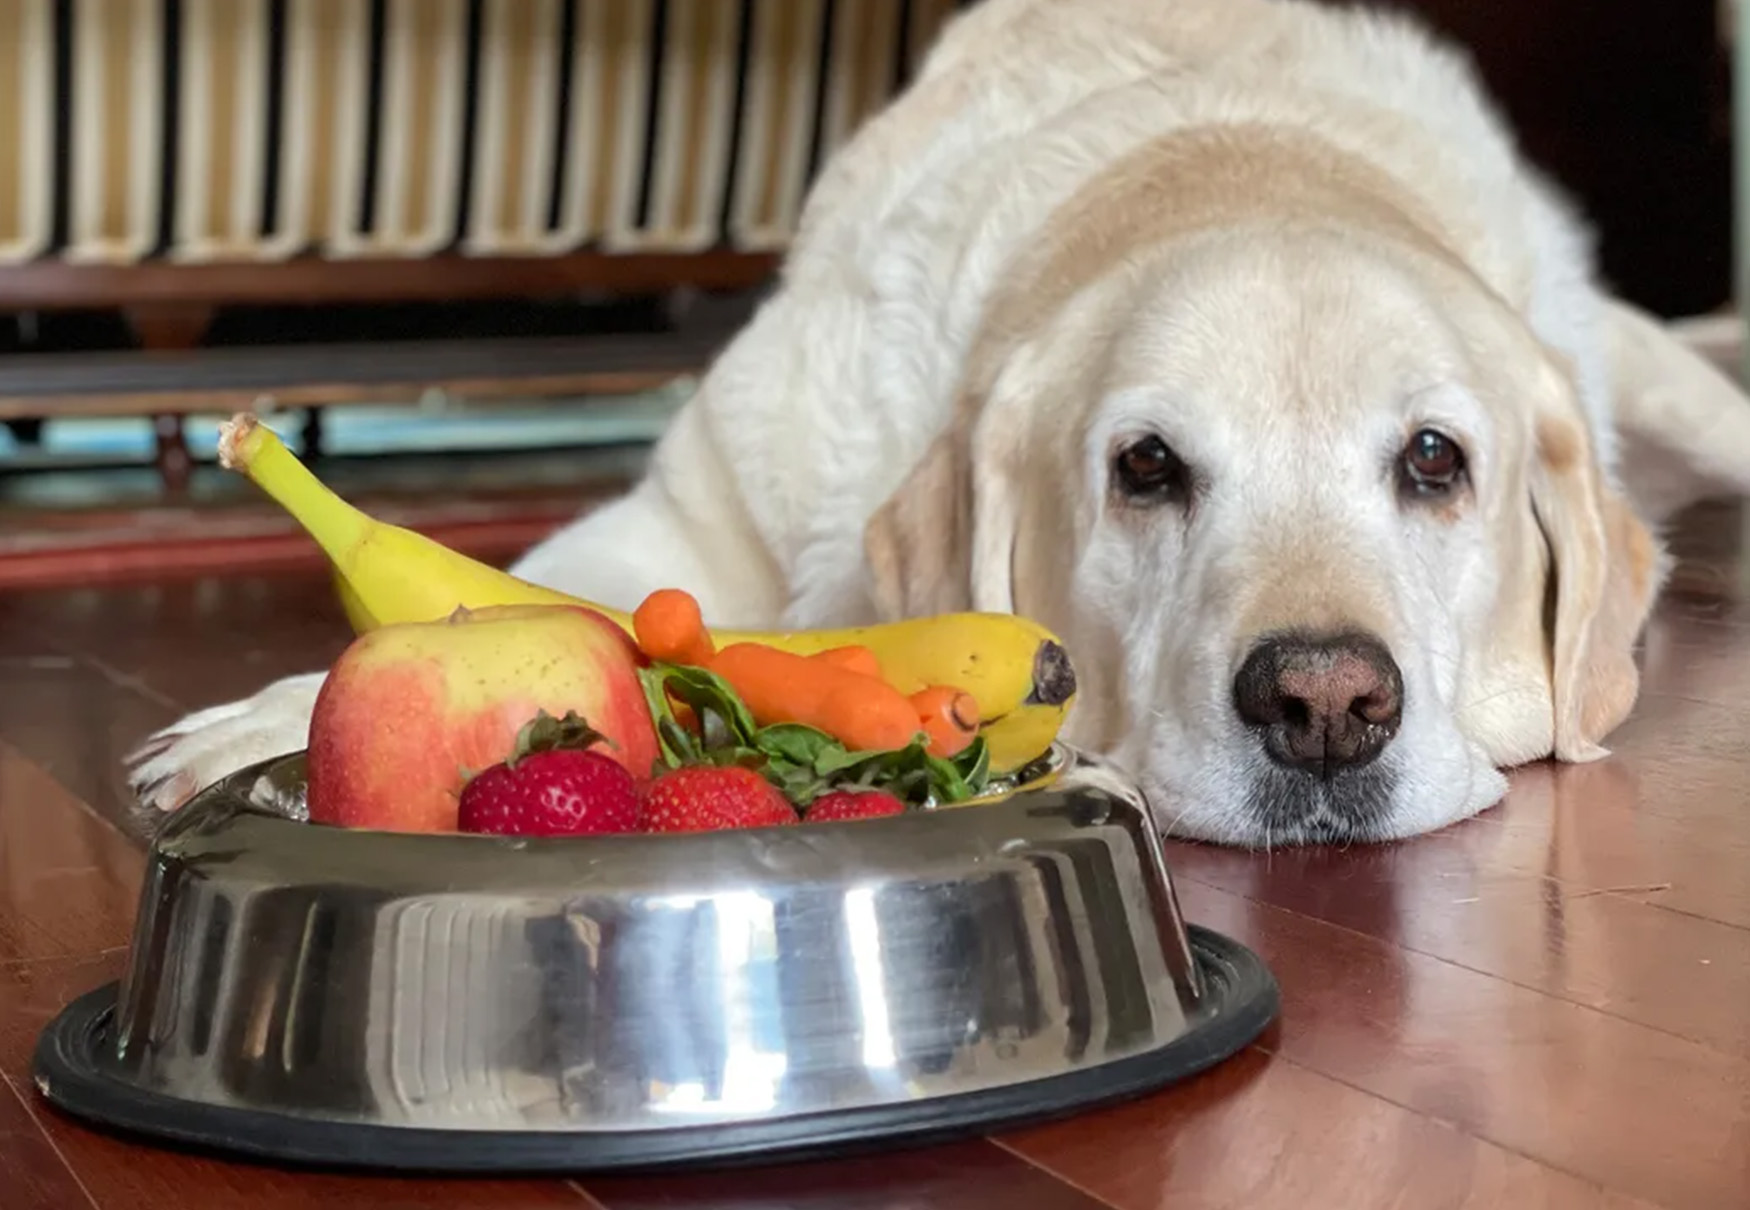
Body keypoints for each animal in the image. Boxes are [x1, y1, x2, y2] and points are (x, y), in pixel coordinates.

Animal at [129, 0, 1750, 844]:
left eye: (1432, 461)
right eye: (1144, 468)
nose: (1324, 708)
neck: (1207, 151)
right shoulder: (679, 516)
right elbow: (519, 607)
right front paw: (271, 719)